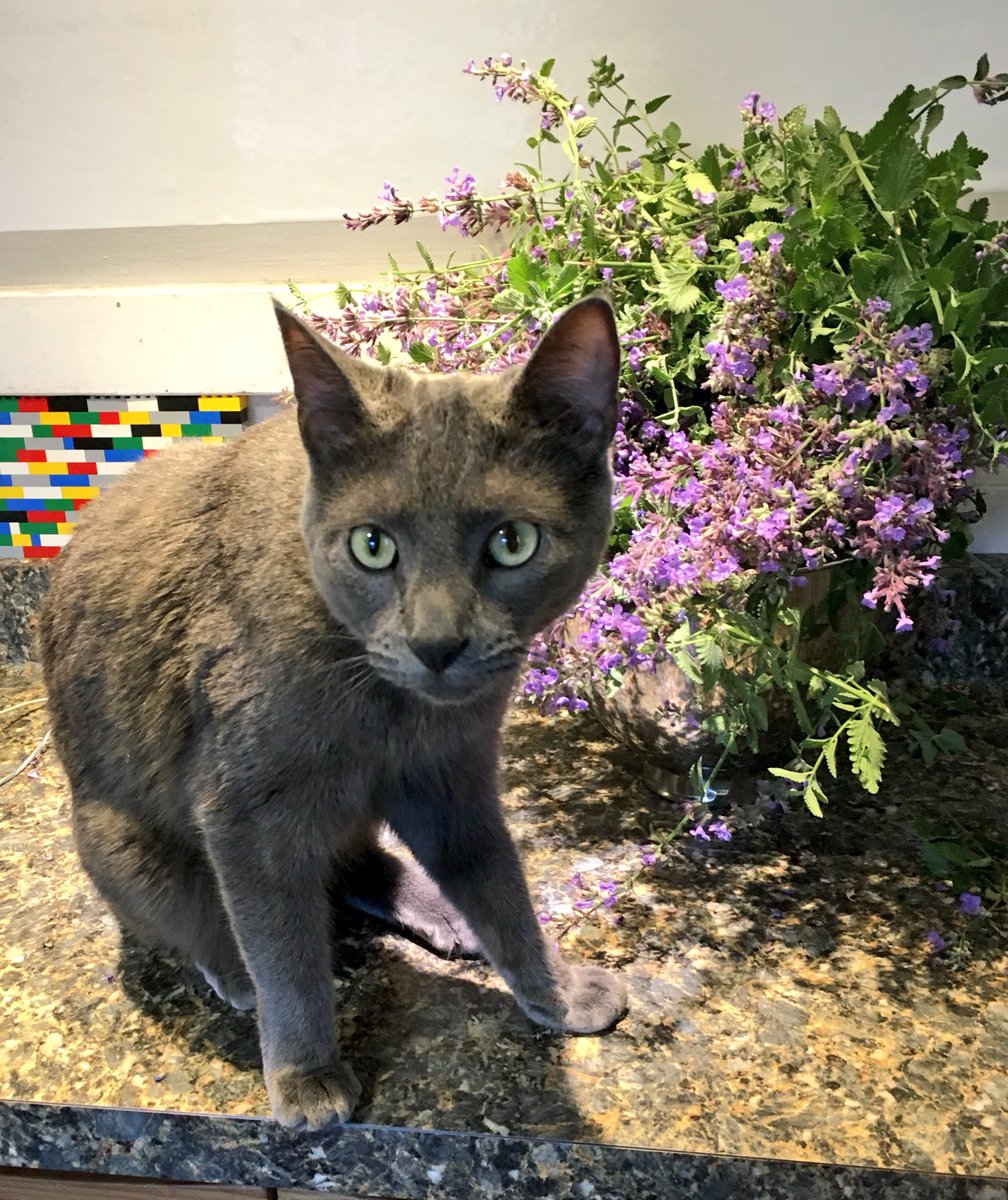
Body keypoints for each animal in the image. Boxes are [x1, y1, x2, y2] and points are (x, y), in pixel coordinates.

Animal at [39, 295, 624, 1128]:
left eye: (512, 542)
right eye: (372, 546)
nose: (436, 642)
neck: (388, 709)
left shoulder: (456, 776)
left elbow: (500, 884)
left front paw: (557, 990)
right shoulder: (245, 812)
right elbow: (285, 951)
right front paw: (308, 1078)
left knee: (357, 859)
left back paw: (441, 915)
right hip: (117, 841)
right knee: (214, 920)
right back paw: (234, 971)